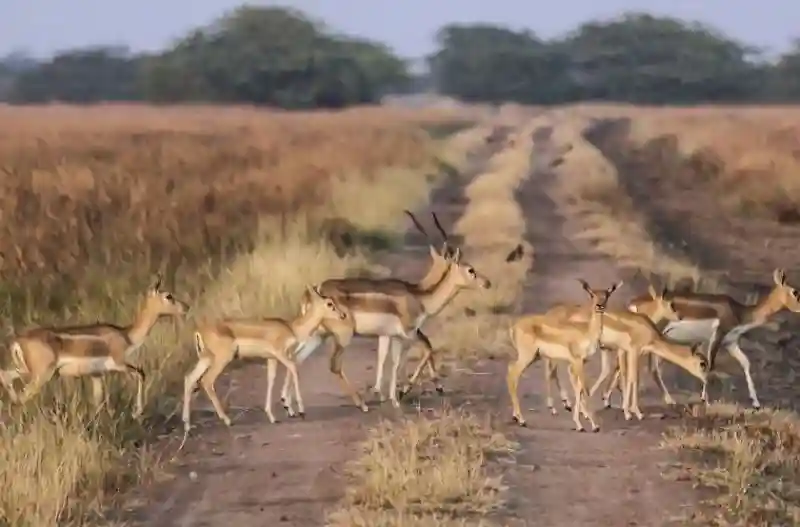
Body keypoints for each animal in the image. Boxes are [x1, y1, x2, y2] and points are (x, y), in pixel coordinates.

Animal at [0, 276, 189, 416]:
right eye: (168, 296)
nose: (186, 307)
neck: (126, 335)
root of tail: (18, 341)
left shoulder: (96, 374)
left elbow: (98, 400)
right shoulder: (118, 363)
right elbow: (141, 373)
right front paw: (137, 412)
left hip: (25, 370)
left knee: (6, 379)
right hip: (42, 375)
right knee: (23, 394)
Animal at [181, 286, 346, 436]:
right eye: (330, 303)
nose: (343, 315)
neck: (291, 328)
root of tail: (200, 331)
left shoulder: (271, 358)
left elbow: (271, 380)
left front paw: (273, 417)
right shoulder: (281, 354)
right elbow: (294, 369)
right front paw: (300, 411)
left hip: (206, 359)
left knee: (190, 379)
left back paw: (187, 426)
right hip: (222, 359)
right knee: (207, 381)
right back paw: (227, 420)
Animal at [284, 246, 490, 412]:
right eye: (470, 270)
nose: (487, 283)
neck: (419, 296)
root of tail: (313, 292)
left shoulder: (388, 335)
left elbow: (386, 359)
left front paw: (386, 395)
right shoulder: (407, 334)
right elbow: (408, 358)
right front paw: (399, 396)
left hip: (317, 336)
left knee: (295, 359)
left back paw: (288, 405)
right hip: (342, 337)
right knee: (334, 365)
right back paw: (362, 405)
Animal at [506, 280, 624, 434]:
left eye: (607, 294)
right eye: (592, 294)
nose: (599, 306)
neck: (586, 332)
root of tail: (514, 327)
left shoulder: (578, 363)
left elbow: (578, 389)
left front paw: (580, 423)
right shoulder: (577, 362)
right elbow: (584, 389)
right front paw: (593, 425)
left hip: (533, 357)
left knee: (511, 370)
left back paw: (517, 417)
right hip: (528, 356)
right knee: (513, 374)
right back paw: (522, 420)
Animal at [628, 268, 800, 408]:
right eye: (795, 292)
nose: (799, 309)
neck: (739, 312)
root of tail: (634, 303)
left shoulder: (730, 342)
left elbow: (746, 363)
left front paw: (756, 402)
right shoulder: (717, 337)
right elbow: (711, 365)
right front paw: (706, 400)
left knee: (653, 368)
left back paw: (668, 399)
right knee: (649, 367)